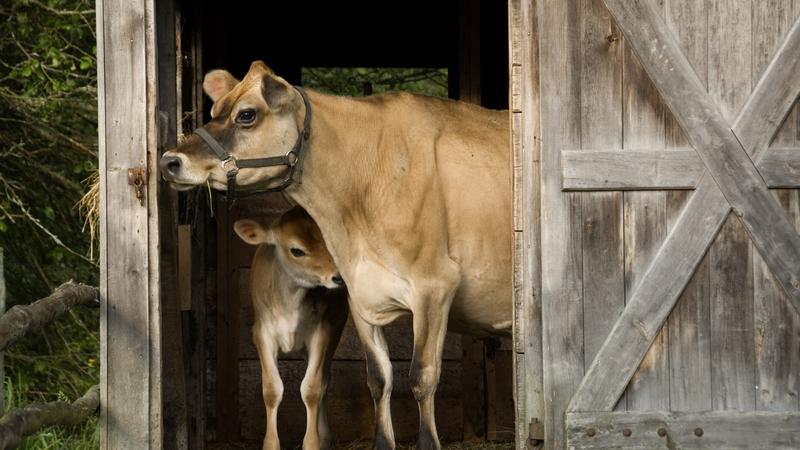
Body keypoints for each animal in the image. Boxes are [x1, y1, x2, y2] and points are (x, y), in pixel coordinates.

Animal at [236, 207, 352, 450]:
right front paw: (270, 444)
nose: (337, 277)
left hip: (336, 330)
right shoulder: (262, 333)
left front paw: (313, 442)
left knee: (325, 380)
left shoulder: (322, 333)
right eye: (297, 251)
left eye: (327, 240)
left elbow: (312, 389)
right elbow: (271, 389)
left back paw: (324, 436)